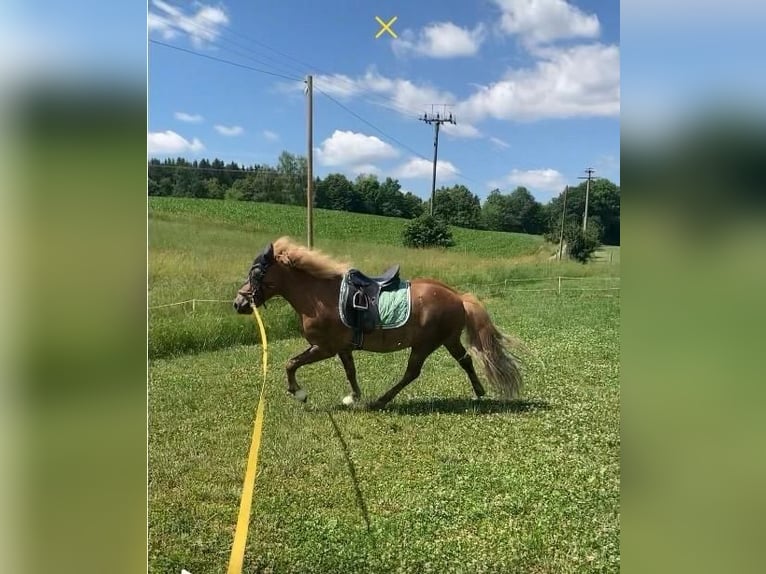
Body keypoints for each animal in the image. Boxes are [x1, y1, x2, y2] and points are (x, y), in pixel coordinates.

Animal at [233, 237, 523, 410]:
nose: (238, 303)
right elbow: (351, 372)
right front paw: (353, 397)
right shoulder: (342, 348)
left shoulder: (323, 348)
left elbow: (291, 363)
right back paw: (479, 391)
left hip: (426, 344)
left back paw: (382, 401)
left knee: (412, 373)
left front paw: (299, 393)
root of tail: (458, 296)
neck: (318, 296)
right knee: (465, 360)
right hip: (448, 340)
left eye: (256, 272)